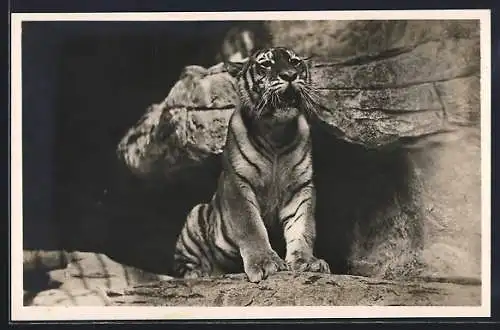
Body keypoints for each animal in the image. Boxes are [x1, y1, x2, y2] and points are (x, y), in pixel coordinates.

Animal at [172, 47, 328, 284]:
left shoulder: (301, 187)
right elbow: (251, 227)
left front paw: (307, 261)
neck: (276, 133)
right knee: (184, 265)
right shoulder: (238, 184)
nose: (290, 75)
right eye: (266, 64)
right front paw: (265, 263)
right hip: (194, 216)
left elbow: (303, 227)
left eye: (294, 62)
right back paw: (199, 273)